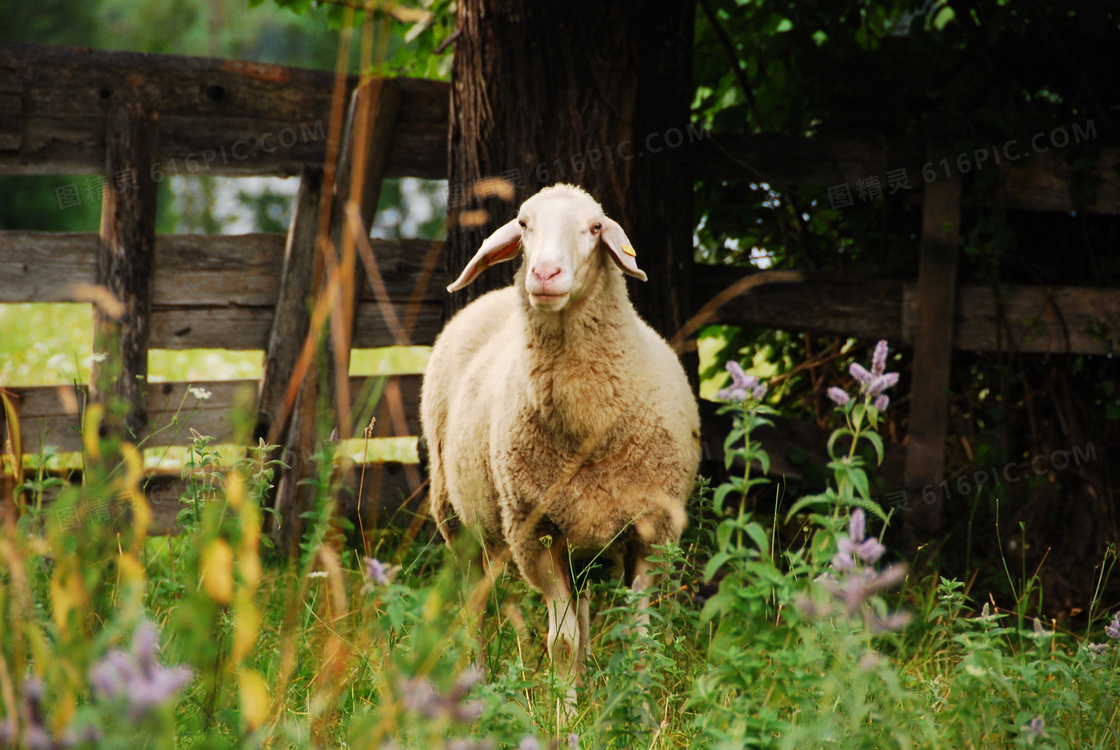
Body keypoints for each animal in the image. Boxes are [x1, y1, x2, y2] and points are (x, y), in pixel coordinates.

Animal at [421, 183, 698, 689]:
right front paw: (565, 710)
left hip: (581, 542)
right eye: (524, 223)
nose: (544, 273)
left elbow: (639, 645)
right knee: (474, 613)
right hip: (459, 523)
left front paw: (641, 709)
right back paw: (476, 687)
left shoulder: (652, 532)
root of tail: (489, 297)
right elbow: (562, 646)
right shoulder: (537, 534)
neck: (588, 428)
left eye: (594, 227)